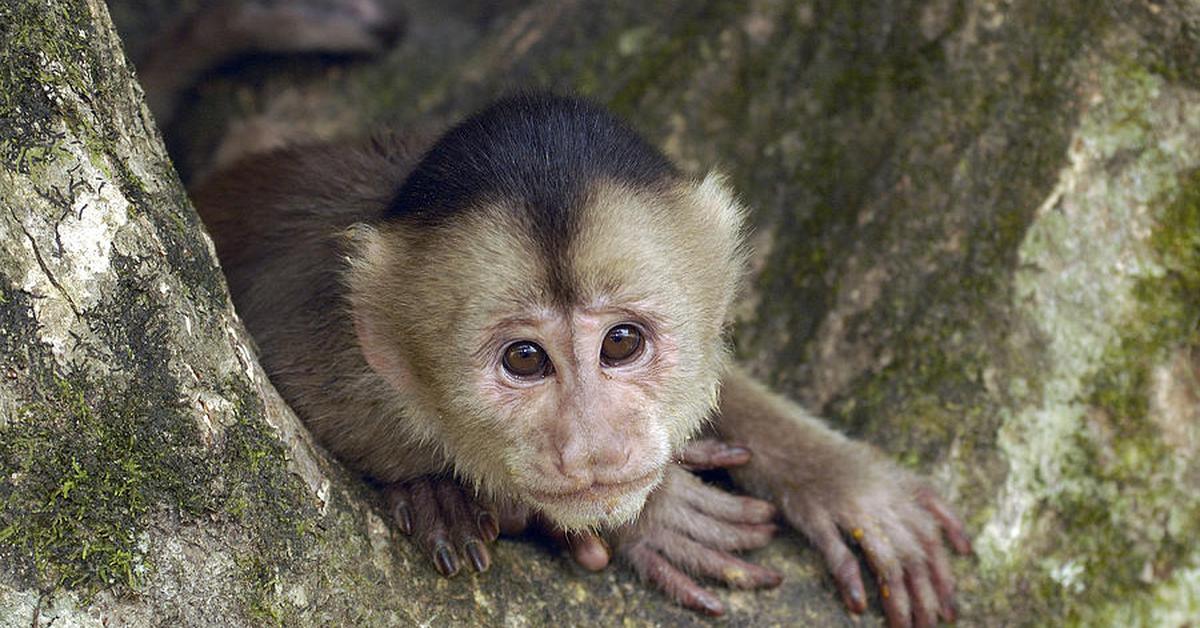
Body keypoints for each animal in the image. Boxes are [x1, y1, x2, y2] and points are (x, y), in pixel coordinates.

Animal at [136, 2, 974, 624]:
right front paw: (650, 517)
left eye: (623, 343)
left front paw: (843, 482)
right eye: (525, 359)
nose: (594, 449)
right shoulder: (314, 351)